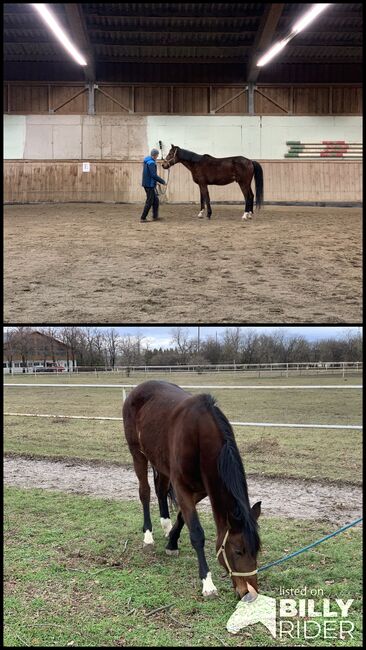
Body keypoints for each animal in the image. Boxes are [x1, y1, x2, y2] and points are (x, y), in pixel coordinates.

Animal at [123, 380, 260, 596]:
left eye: (257, 551)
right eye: (238, 551)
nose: (250, 593)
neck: (198, 436)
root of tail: (138, 389)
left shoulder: (202, 489)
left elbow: (181, 515)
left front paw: (172, 541)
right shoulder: (183, 487)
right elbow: (196, 533)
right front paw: (208, 583)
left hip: (160, 462)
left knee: (160, 490)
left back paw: (166, 526)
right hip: (138, 454)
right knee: (145, 492)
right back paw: (148, 536)